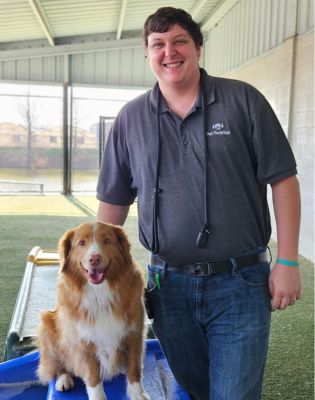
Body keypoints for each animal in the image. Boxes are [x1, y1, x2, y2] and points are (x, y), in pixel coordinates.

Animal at [37, 222, 151, 400]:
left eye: (107, 241)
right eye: (81, 243)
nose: (94, 259)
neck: (100, 293)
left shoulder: (134, 335)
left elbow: (134, 369)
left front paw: (137, 394)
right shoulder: (84, 343)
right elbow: (93, 378)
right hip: (47, 325)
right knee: (58, 365)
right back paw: (63, 378)